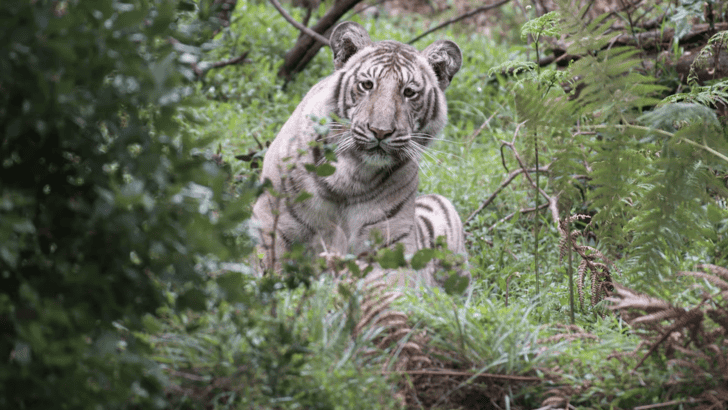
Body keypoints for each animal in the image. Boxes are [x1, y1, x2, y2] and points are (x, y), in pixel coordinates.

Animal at [251, 21, 468, 288]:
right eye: (367, 85)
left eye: (409, 92)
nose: (380, 131)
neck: (351, 174)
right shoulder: (272, 221)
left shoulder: (389, 243)